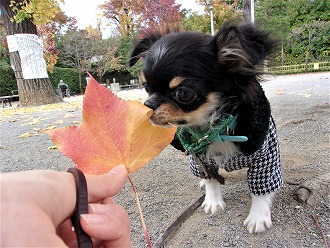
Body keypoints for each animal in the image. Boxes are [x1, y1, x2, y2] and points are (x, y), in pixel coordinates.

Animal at [129, 21, 284, 234]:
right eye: (146, 87)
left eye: (183, 93)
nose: (148, 105)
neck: (216, 130)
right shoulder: (199, 157)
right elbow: (211, 178)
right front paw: (213, 201)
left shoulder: (265, 153)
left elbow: (261, 188)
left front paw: (258, 217)